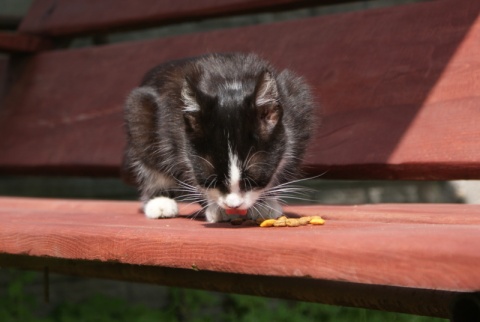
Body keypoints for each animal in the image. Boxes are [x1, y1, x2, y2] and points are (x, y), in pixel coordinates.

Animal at [124, 52, 316, 223]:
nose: (233, 204)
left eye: (253, 177)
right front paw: (216, 208)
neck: (230, 84)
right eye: (210, 178)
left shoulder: (298, 108)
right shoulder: (174, 130)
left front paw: (265, 203)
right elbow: (185, 169)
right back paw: (158, 202)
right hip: (139, 109)